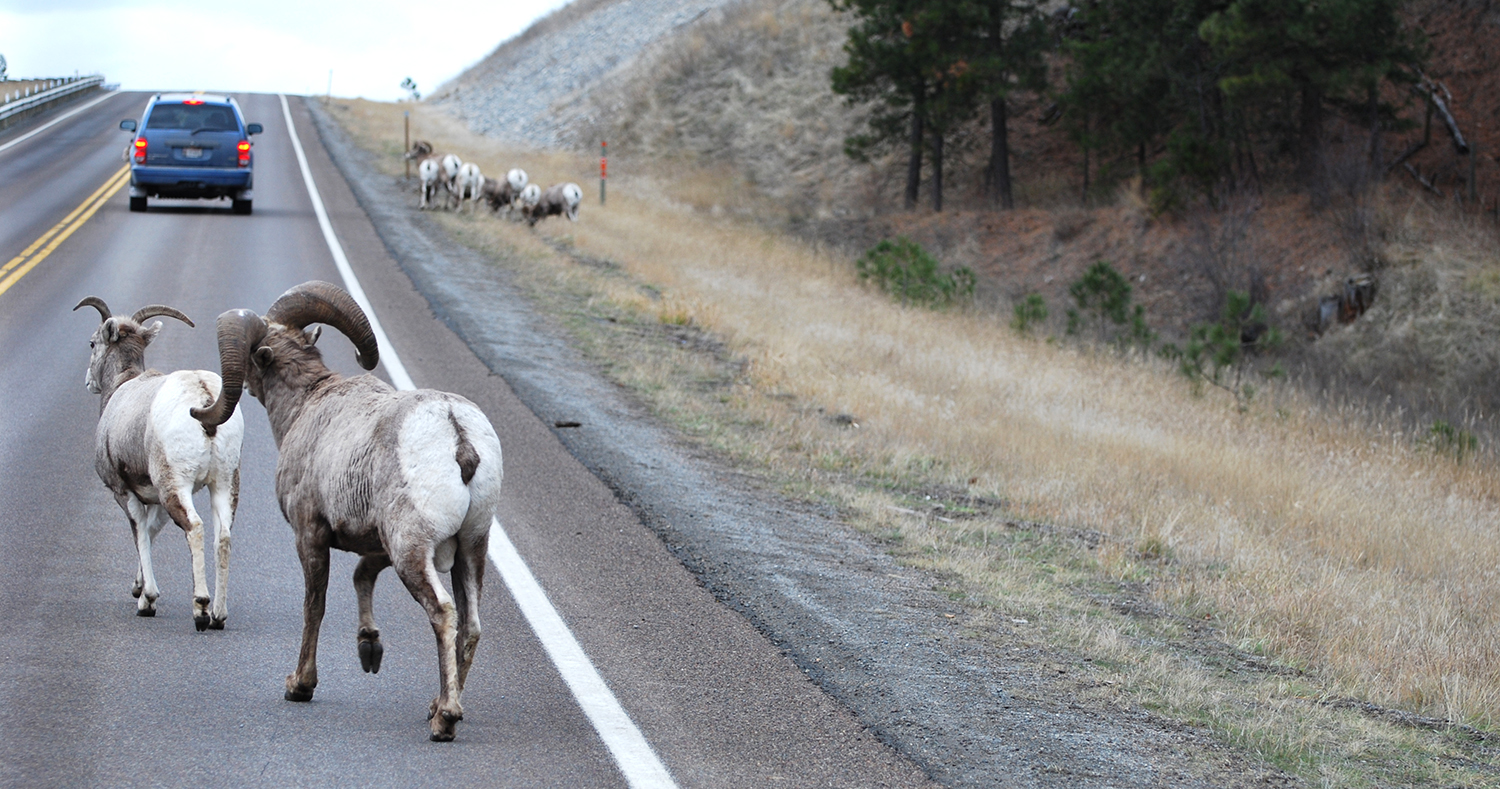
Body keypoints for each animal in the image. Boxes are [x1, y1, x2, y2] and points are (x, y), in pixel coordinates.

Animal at [74, 297, 244, 631]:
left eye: (92, 343)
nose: (88, 382)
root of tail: (203, 396)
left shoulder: (124, 491)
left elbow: (139, 531)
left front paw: (147, 600)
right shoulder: (154, 499)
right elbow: (151, 532)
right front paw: (138, 587)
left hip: (176, 487)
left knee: (195, 528)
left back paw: (201, 610)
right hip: (224, 483)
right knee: (223, 536)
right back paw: (218, 616)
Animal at [193, 281, 503, 742]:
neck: (305, 407)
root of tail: (457, 433)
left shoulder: (310, 534)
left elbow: (314, 606)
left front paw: (299, 686)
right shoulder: (374, 545)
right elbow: (361, 577)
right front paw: (369, 648)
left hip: (413, 553)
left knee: (444, 614)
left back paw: (444, 719)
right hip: (471, 549)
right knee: (472, 626)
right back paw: (437, 705)